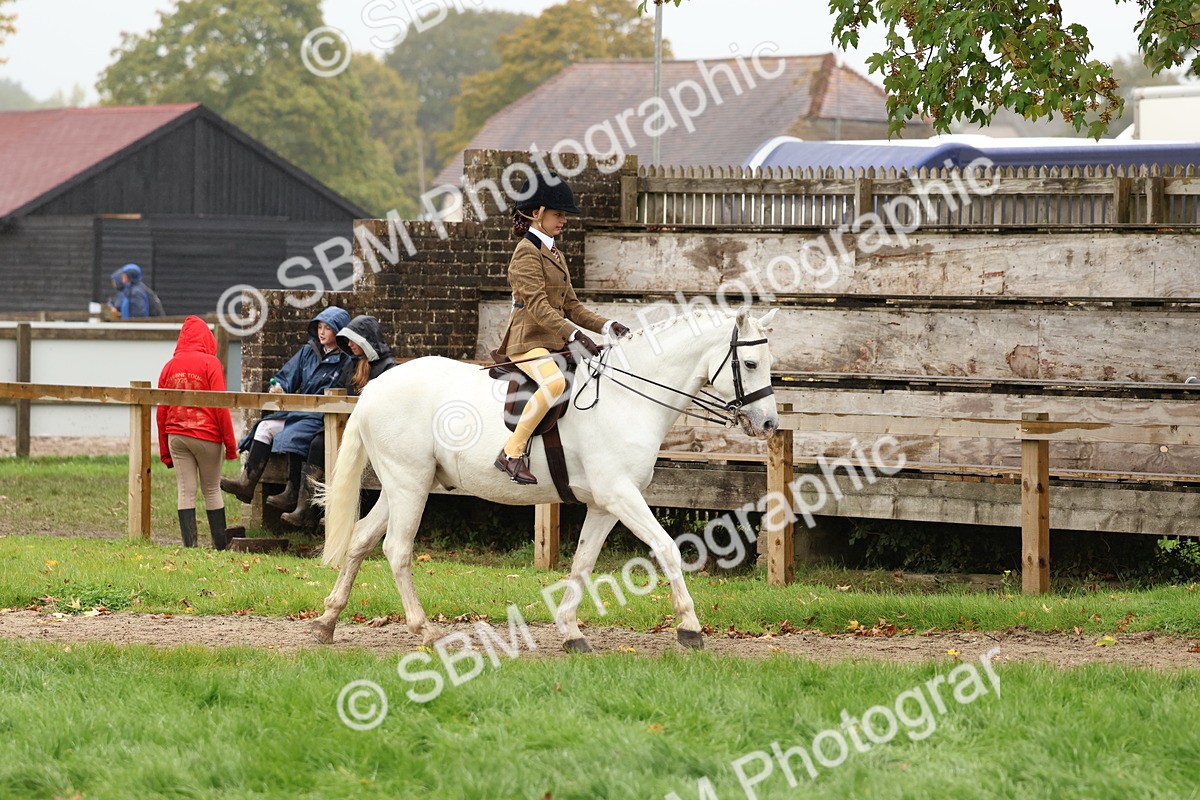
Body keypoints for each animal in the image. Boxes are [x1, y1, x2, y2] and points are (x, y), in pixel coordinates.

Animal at [312, 307, 779, 652]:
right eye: (750, 363)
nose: (769, 424)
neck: (627, 398)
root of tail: (375, 388)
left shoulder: (604, 504)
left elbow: (583, 563)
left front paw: (571, 632)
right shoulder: (621, 495)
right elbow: (666, 549)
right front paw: (690, 628)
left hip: (403, 485)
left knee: (361, 538)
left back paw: (327, 621)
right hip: (408, 484)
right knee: (397, 549)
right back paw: (425, 630)